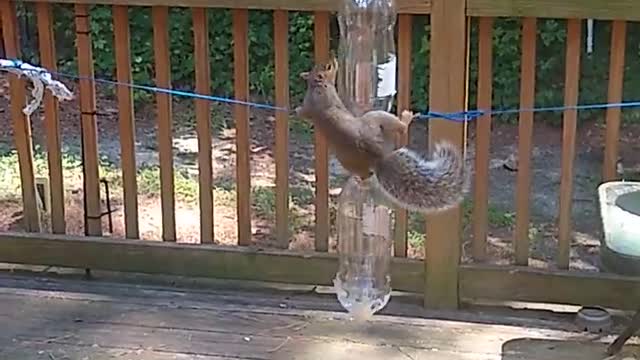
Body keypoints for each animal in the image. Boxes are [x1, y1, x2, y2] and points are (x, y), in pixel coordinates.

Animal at [296, 57, 470, 212]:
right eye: (328, 67)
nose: (333, 58)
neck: (315, 87)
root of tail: (379, 156)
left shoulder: (308, 106)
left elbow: (303, 112)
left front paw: (297, 111)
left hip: (350, 163)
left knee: (364, 175)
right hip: (376, 118)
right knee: (400, 128)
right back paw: (406, 118)